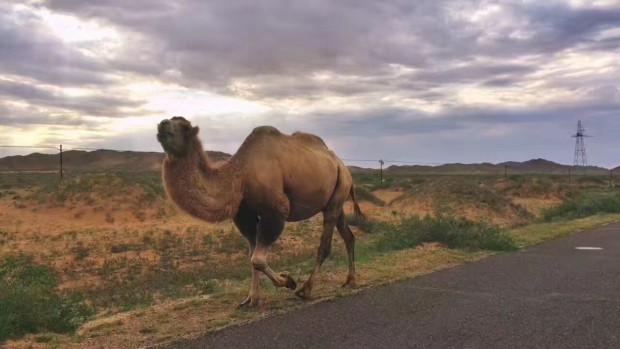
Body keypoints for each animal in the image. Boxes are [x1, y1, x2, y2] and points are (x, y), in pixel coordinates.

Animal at [155, 115, 366, 306]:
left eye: (184, 127)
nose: (162, 124)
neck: (240, 175)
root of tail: (341, 164)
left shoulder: (276, 209)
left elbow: (257, 259)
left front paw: (289, 281)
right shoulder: (244, 215)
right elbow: (251, 255)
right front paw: (251, 300)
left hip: (339, 190)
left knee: (325, 244)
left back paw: (305, 289)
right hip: (337, 197)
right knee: (348, 236)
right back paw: (350, 279)